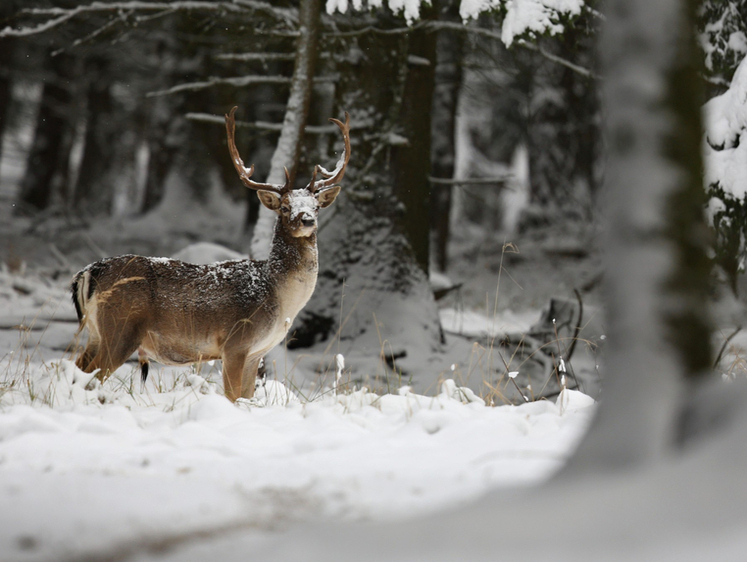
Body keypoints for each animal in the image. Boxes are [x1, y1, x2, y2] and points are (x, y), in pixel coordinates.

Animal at [70, 106, 350, 398]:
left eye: (316, 206)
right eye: (285, 207)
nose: (307, 219)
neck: (279, 297)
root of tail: (89, 271)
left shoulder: (256, 353)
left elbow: (247, 397)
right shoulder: (236, 342)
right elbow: (233, 397)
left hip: (96, 333)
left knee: (76, 370)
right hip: (121, 328)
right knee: (92, 376)